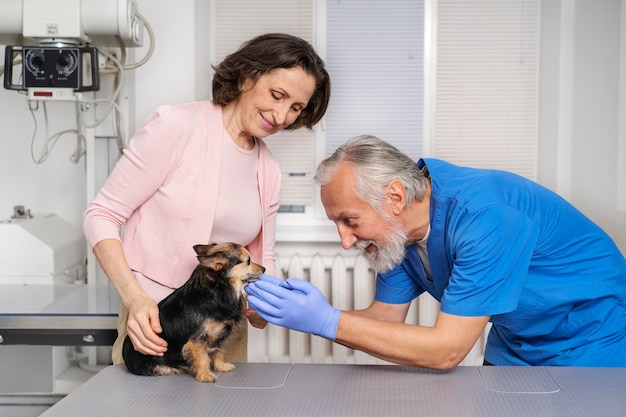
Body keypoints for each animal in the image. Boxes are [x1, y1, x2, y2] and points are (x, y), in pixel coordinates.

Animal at [122, 240, 264, 380]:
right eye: (249, 261)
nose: (264, 269)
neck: (219, 290)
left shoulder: (220, 334)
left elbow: (218, 351)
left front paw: (221, 366)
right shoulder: (198, 337)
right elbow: (202, 357)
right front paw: (205, 375)